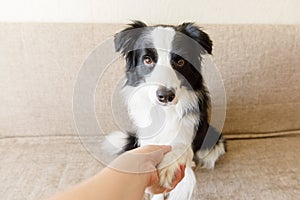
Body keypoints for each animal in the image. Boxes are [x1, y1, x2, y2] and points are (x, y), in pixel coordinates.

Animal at [103, 20, 225, 200]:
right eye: (147, 60)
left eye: (180, 62)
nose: (165, 96)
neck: (165, 112)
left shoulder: (188, 132)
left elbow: (178, 147)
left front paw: (167, 167)